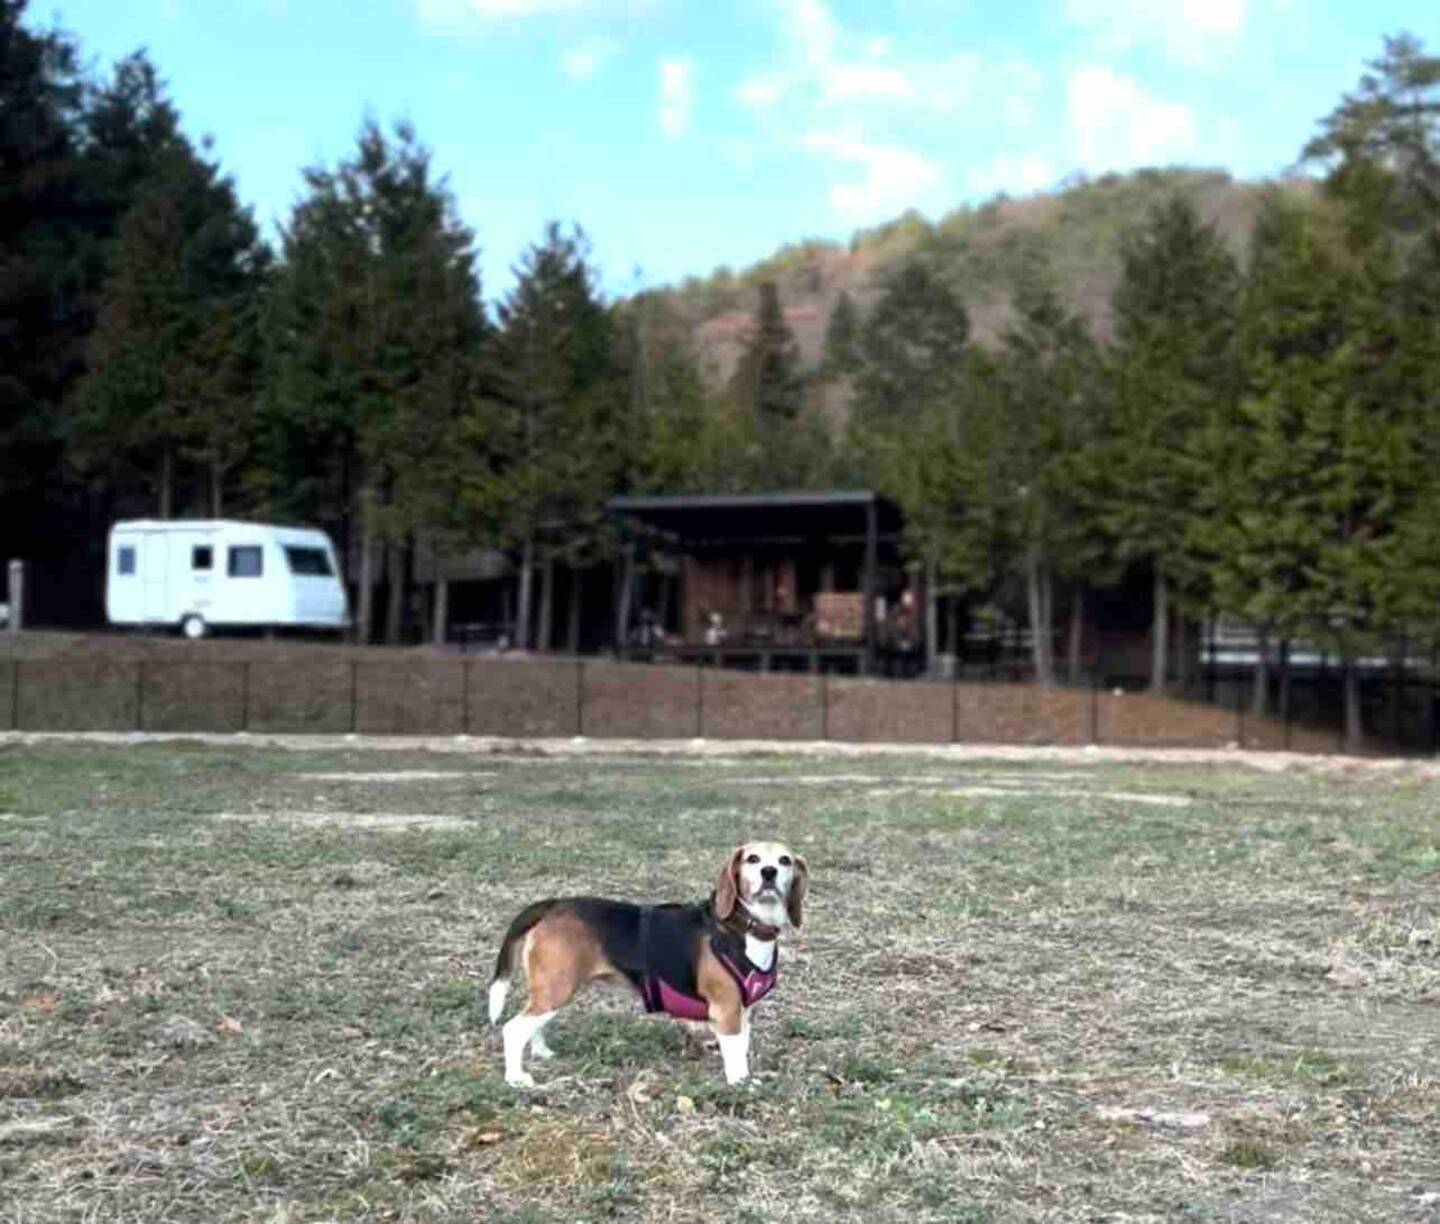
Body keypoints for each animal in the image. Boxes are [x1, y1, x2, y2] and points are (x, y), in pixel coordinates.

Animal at [489, 840, 806, 1088]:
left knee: (532, 1025)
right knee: (513, 1030)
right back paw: (516, 1078)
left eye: (785, 860)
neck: (745, 927)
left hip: (551, 991)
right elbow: (735, 1055)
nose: (769, 872)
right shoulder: (726, 1012)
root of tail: (553, 904)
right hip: (555, 988)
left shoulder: (744, 1012)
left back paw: (542, 1052)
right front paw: (740, 1084)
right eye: (752, 859)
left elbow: (742, 1048)